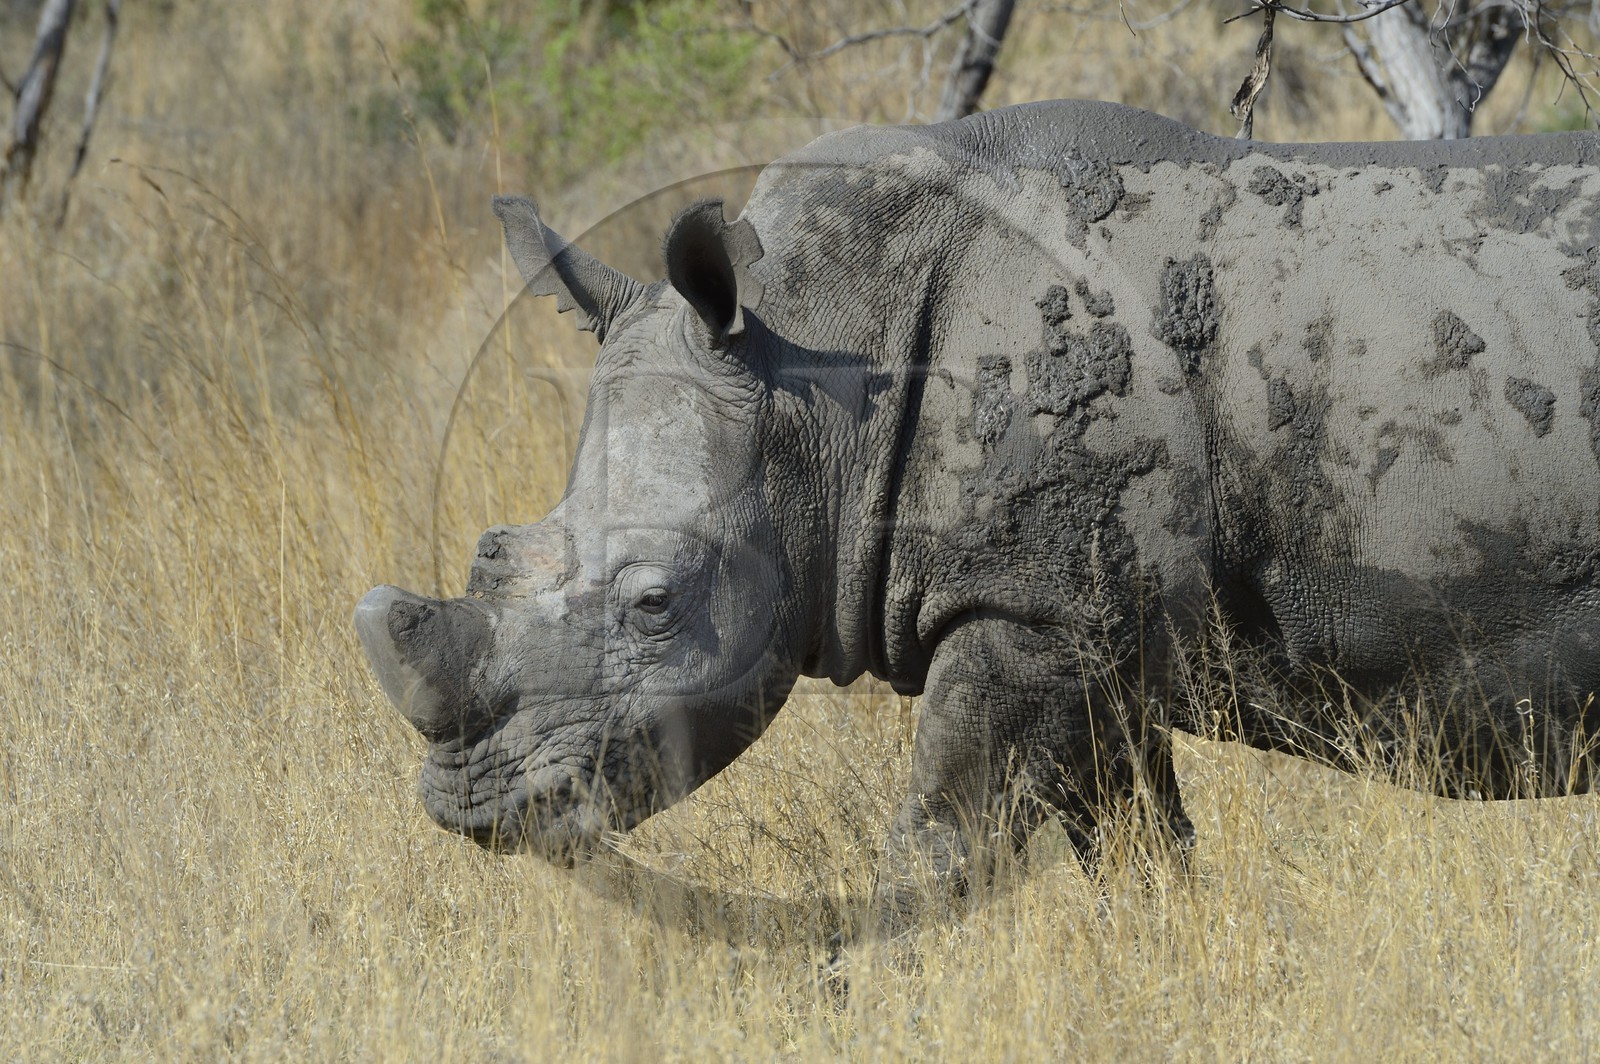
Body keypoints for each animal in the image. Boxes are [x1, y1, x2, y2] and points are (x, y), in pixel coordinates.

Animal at [357, 100, 1600, 925]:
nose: (465, 801)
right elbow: (1135, 851)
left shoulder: (1023, 613)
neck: (818, 367)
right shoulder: (1082, 621)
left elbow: (934, 838)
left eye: (656, 604)